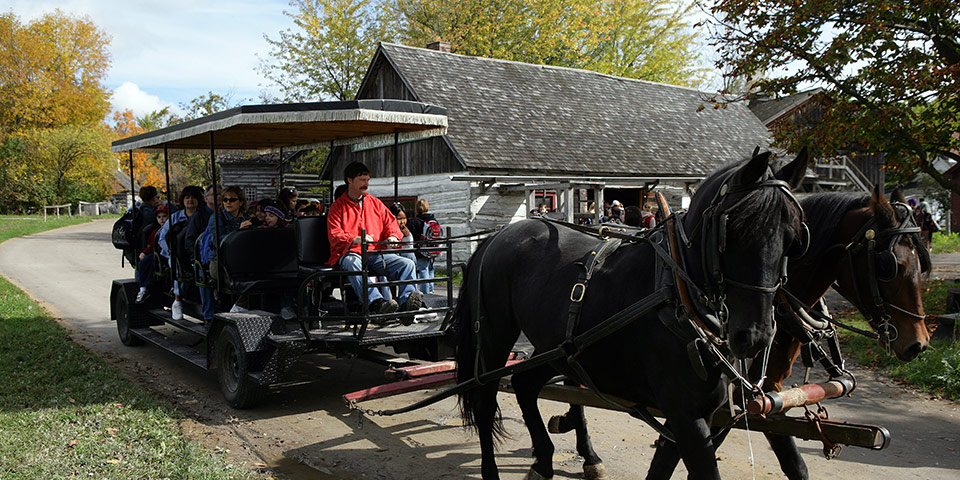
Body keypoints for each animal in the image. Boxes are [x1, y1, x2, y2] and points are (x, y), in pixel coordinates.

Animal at [456, 148, 808, 478]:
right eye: (731, 231)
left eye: (793, 238)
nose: (755, 336)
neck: (678, 292)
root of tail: (497, 236)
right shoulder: (687, 416)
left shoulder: (701, 418)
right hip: (494, 336)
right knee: (484, 400)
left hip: (556, 350)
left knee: (525, 384)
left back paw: (547, 460)